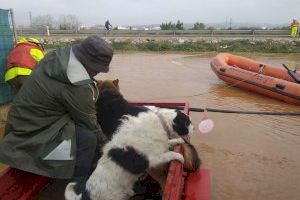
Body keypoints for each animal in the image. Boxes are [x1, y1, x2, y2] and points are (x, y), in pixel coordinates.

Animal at [64, 79, 193, 200]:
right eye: (188, 123)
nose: (195, 128)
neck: (159, 120)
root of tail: (85, 195)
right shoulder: (153, 159)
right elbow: (170, 154)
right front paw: (179, 156)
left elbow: (168, 142)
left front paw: (177, 141)